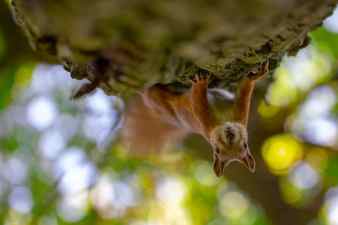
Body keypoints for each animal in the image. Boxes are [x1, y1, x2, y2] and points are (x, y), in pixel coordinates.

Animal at [122, 61, 270, 176]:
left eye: (244, 145)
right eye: (217, 150)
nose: (230, 133)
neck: (224, 120)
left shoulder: (226, 119)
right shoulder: (235, 116)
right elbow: (242, 93)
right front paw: (256, 75)